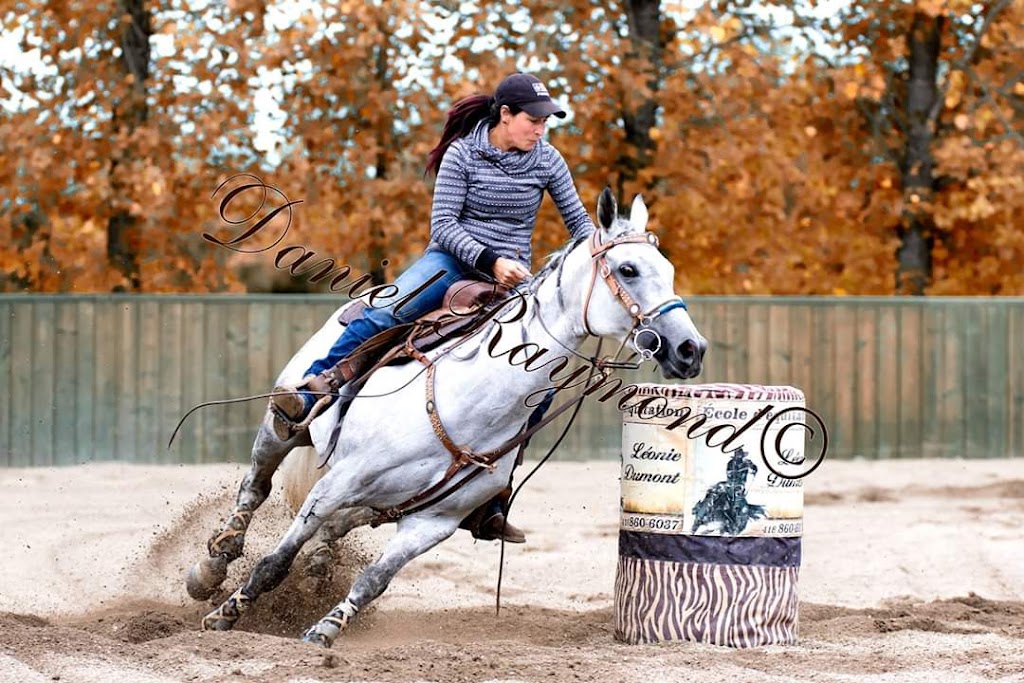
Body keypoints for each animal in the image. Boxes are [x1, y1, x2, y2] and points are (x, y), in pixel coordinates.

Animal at [186, 189, 704, 651]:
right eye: (628, 269)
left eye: (670, 270)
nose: (689, 349)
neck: (469, 403)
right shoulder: (336, 484)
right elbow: (275, 561)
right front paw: (224, 615)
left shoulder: (432, 523)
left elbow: (373, 579)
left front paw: (325, 630)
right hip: (284, 428)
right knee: (257, 485)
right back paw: (212, 566)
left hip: (382, 505)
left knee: (339, 526)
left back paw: (317, 566)